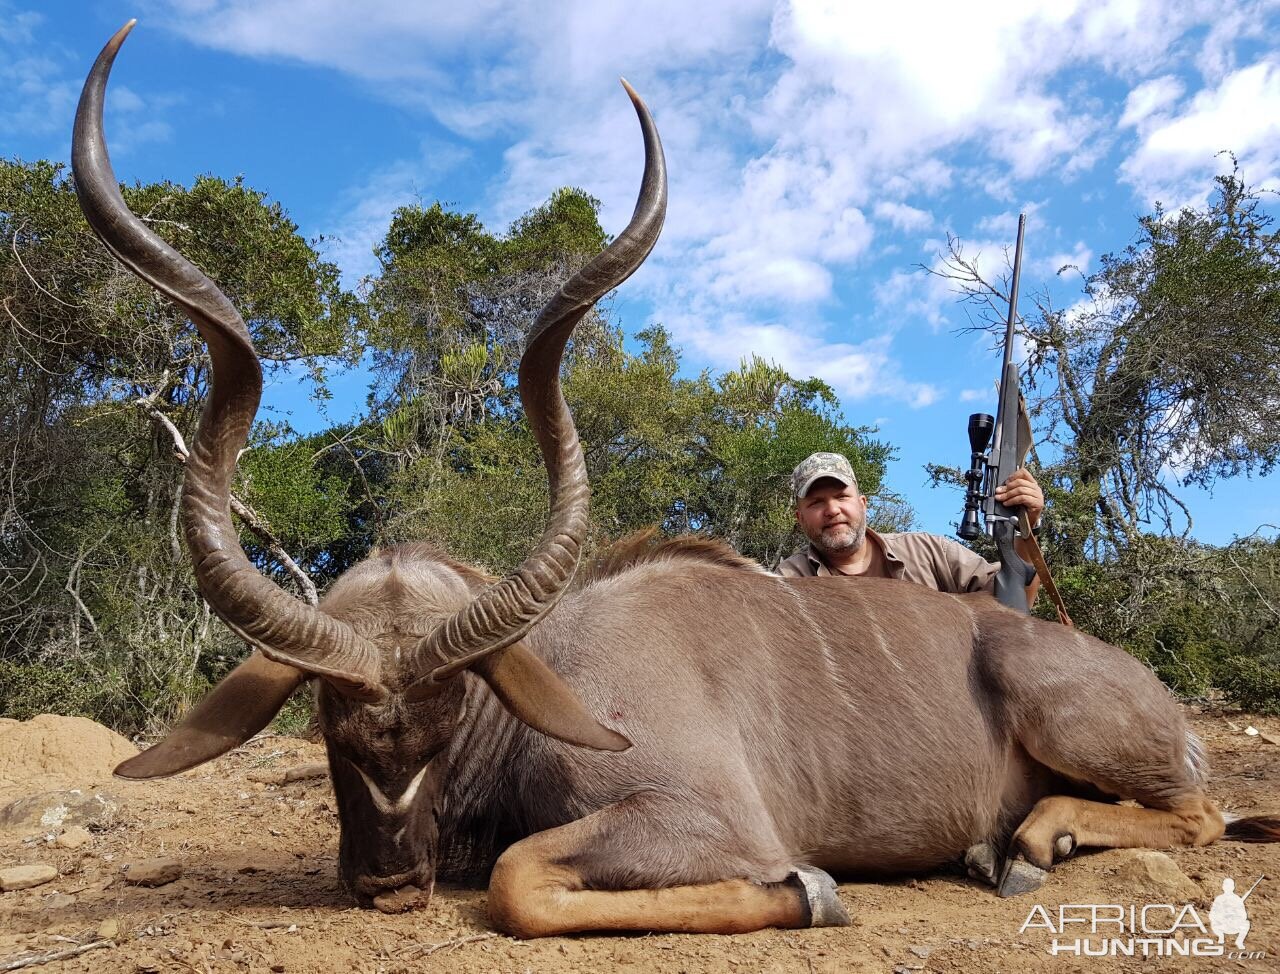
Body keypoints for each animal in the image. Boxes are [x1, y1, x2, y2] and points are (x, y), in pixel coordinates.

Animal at [74, 20, 1274, 936]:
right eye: (327, 720)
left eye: (449, 715)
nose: (386, 881)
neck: (556, 678)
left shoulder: (711, 820)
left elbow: (518, 879)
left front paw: (812, 891)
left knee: (1203, 811)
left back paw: (1030, 837)